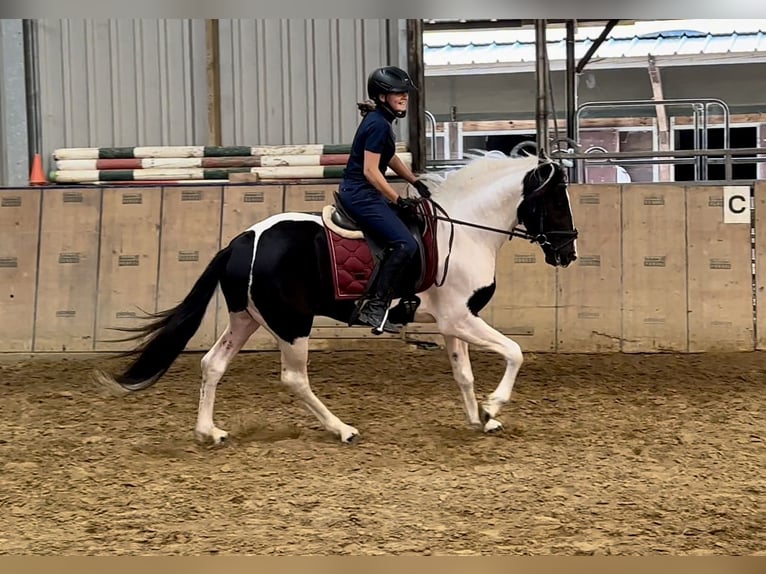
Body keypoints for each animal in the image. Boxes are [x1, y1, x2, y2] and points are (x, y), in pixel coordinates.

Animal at [94, 152, 576, 446]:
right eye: (555, 201)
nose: (568, 252)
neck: (467, 228)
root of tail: (240, 242)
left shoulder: (450, 323)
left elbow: (464, 375)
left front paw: (480, 418)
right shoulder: (460, 319)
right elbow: (514, 352)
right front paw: (494, 406)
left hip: (246, 319)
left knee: (213, 364)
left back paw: (209, 433)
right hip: (292, 324)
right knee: (294, 379)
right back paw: (342, 429)